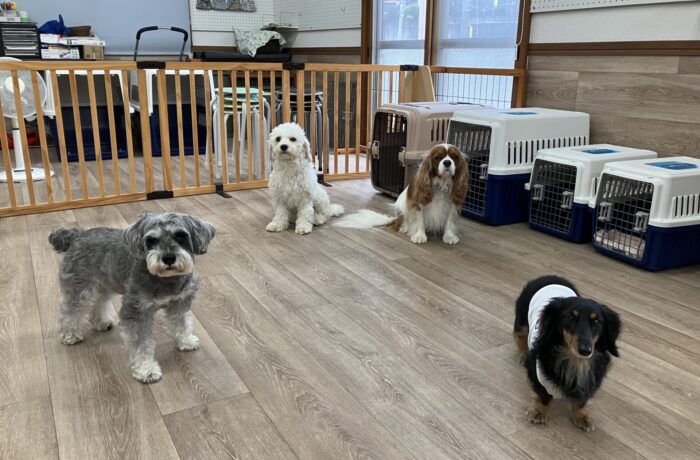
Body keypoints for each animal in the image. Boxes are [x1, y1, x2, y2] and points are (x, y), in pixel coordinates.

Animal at [49, 213, 215, 384]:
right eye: (152, 240)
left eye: (181, 236)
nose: (168, 258)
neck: (165, 279)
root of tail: (77, 235)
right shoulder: (136, 313)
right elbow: (140, 344)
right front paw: (146, 370)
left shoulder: (180, 302)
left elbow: (183, 323)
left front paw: (186, 341)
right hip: (80, 288)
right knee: (70, 311)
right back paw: (70, 335)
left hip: (104, 284)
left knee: (99, 302)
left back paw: (102, 322)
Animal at [334, 144, 468, 244]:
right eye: (438, 157)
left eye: (455, 157)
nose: (447, 162)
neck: (441, 184)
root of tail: (395, 220)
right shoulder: (418, 203)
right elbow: (419, 220)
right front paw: (419, 235)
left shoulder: (451, 205)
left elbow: (449, 221)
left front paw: (449, 236)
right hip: (400, 206)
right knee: (404, 220)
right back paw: (404, 227)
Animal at [513, 275, 621, 431]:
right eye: (570, 317)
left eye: (596, 321)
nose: (585, 350)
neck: (576, 361)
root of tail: (550, 276)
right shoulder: (537, 373)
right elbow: (544, 395)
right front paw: (539, 412)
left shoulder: (589, 382)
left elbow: (581, 402)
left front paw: (582, 417)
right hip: (521, 322)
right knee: (519, 335)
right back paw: (523, 354)